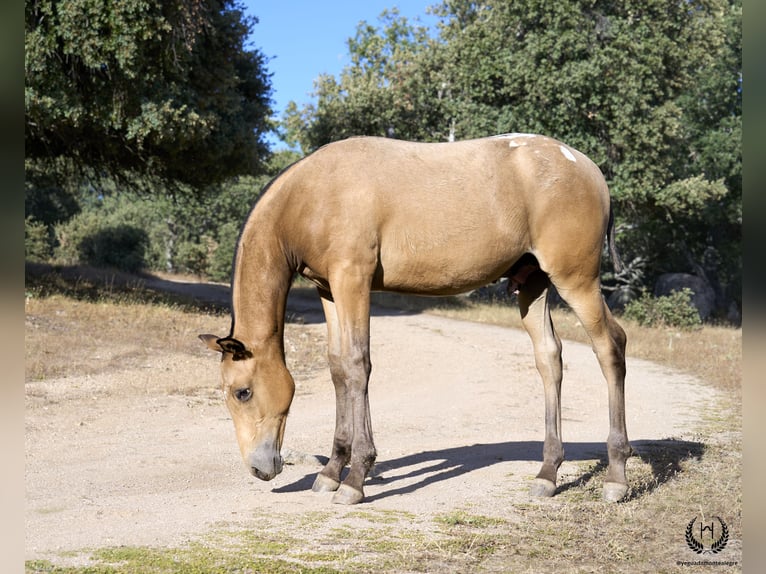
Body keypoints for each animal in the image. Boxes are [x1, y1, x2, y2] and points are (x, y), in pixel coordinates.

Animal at [201, 133, 632, 506]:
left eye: (242, 392)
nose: (259, 469)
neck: (310, 195)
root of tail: (587, 167)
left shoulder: (352, 279)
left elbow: (358, 365)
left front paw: (355, 478)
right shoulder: (329, 289)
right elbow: (339, 368)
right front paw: (332, 471)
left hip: (576, 280)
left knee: (610, 347)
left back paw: (616, 476)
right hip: (534, 283)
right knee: (549, 358)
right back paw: (547, 473)